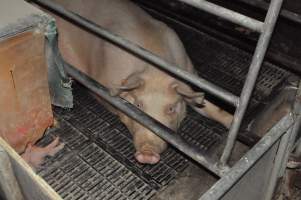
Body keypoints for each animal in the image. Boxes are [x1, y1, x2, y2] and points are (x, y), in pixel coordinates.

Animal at [47, 0, 232, 164]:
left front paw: (231, 122)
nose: (148, 153)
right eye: (138, 106)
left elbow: (208, 106)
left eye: (171, 109)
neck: (156, 71)